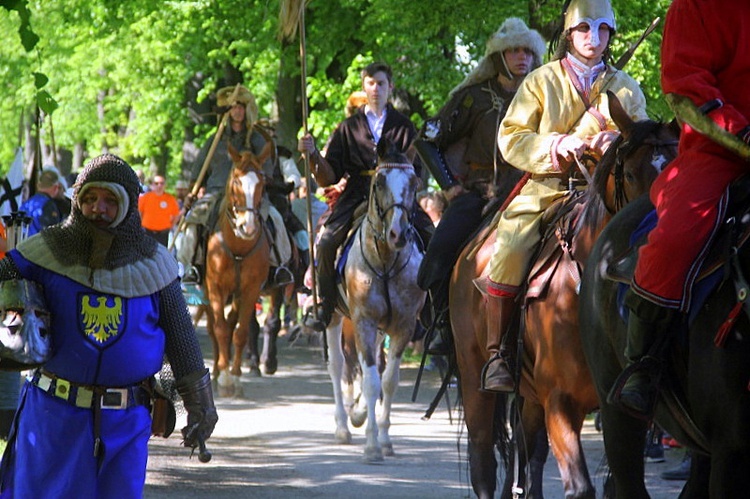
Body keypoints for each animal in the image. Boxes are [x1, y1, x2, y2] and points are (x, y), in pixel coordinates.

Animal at [206, 144, 274, 398]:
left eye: (262, 183)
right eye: (236, 181)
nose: (248, 226)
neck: (237, 247)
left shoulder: (250, 290)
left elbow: (240, 332)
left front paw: (234, 378)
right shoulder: (214, 287)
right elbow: (220, 329)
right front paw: (225, 378)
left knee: (231, 323)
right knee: (213, 328)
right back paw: (216, 371)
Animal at [326, 138, 426, 464]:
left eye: (414, 182)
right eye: (379, 182)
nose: (397, 234)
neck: (385, 261)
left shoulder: (403, 325)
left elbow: (388, 380)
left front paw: (384, 439)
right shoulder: (364, 322)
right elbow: (370, 381)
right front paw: (371, 446)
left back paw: (357, 413)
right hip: (334, 316)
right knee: (337, 365)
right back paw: (342, 426)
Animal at [450, 94, 684, 499]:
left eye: (676, 168)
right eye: (632, 174)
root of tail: (469, 250)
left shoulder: (619, 410)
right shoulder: (561, 402)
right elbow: (580, 487)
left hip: (529, 398)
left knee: (529, 459)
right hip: (473, 375)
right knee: (484, 464)